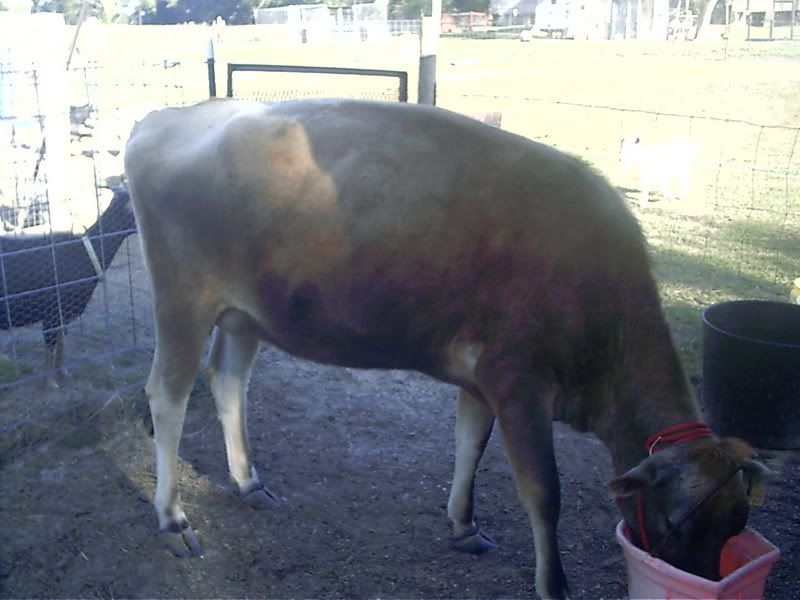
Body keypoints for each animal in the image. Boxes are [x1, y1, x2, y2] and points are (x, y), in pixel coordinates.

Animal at [124, 99, 768, 599]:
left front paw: (463, 525)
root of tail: (166, 118)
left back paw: (248, 483)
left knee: (228, 381)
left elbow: (469, 446)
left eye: (737, 522)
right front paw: (554, 585)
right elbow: (544, 492)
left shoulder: (482, 380)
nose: (700, 580)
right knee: (168, 395)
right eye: (676, 521)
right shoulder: (519, 379)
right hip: (183, 299)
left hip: (244, 315)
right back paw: (172, 518)